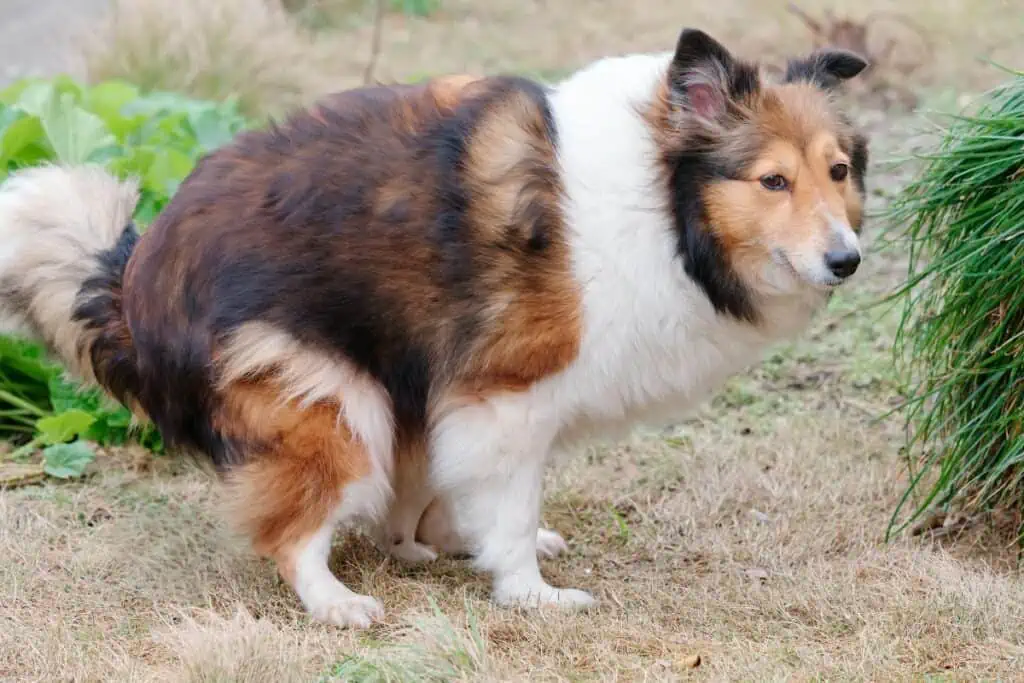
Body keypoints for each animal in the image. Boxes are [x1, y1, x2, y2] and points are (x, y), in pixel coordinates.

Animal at [0, 30, 868, 630]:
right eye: (772, 180)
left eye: (838, 171)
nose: (847, 259)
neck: (661, 203)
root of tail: (134, 278)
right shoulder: (507, 391)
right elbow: (508, 507)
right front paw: (529, 593)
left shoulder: (470, 402)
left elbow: (473, 488)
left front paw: (470, 543)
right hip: (336, 400)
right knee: (290, 529)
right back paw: (336, 601)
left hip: (397, 381)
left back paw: (414, 542)